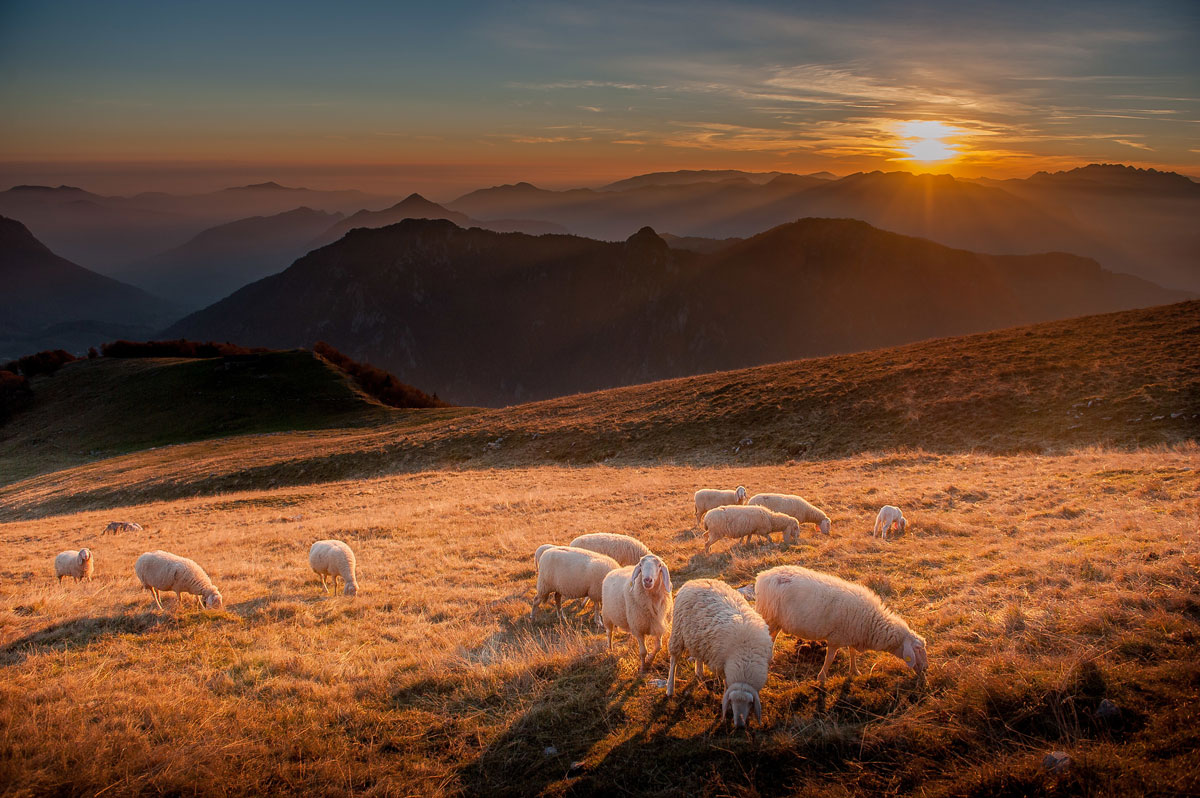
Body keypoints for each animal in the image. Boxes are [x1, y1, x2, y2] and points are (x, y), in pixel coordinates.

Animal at [662, 578, 772, 729]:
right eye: (731, 700)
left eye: (750, 703)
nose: (739, 725)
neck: (745, 658)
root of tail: (693, 581)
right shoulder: (722, 665)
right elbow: (726, 685)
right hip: (678, 632)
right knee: (674, 660)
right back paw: (670, 688)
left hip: (698, 636)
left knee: (698, 655)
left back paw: (699, 672)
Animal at [748, 564, 926, 681]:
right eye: (917, 650)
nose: (926, 670)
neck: (872, 623)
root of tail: (762, 576)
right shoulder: (836, 638)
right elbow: (830, 658)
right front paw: (822, 677)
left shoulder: (852, 635)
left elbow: (852, 653)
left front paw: (854, 671)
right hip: (768, 616)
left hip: (776, 620)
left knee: (772, 636)